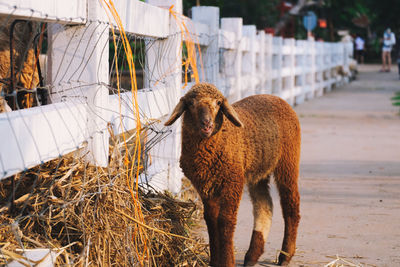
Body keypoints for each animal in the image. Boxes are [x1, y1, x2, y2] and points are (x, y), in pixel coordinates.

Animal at [163, 82, 300, 266]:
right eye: (190, 103)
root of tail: (278, 99)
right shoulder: (206, 187)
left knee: (290, 204)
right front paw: (215, 261)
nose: (207, 124)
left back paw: (285, 256)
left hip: (288, 160)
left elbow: (225, 221)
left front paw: (227, 261)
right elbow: (211, 220)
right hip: (258, 171)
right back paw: (251, 256)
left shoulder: (233, 181)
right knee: (264, 206)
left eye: (218, 103)